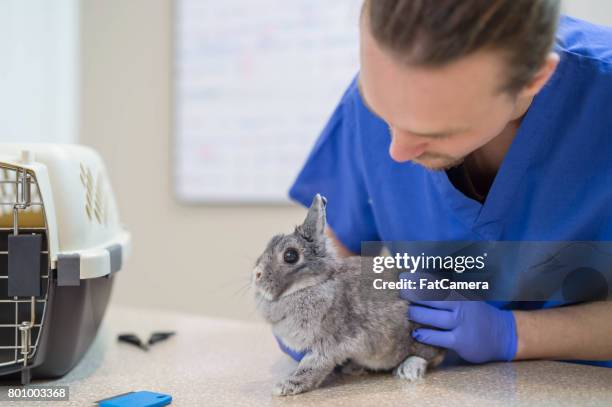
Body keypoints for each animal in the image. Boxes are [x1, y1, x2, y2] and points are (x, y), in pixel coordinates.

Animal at [253, 196, 444, 396]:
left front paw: (285, 386)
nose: (256, 274)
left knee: (431, 356)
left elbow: (311, 366)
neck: (314, 283)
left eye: (290, 255)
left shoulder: (327, 344)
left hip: (420, 335)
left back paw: (408, 369)